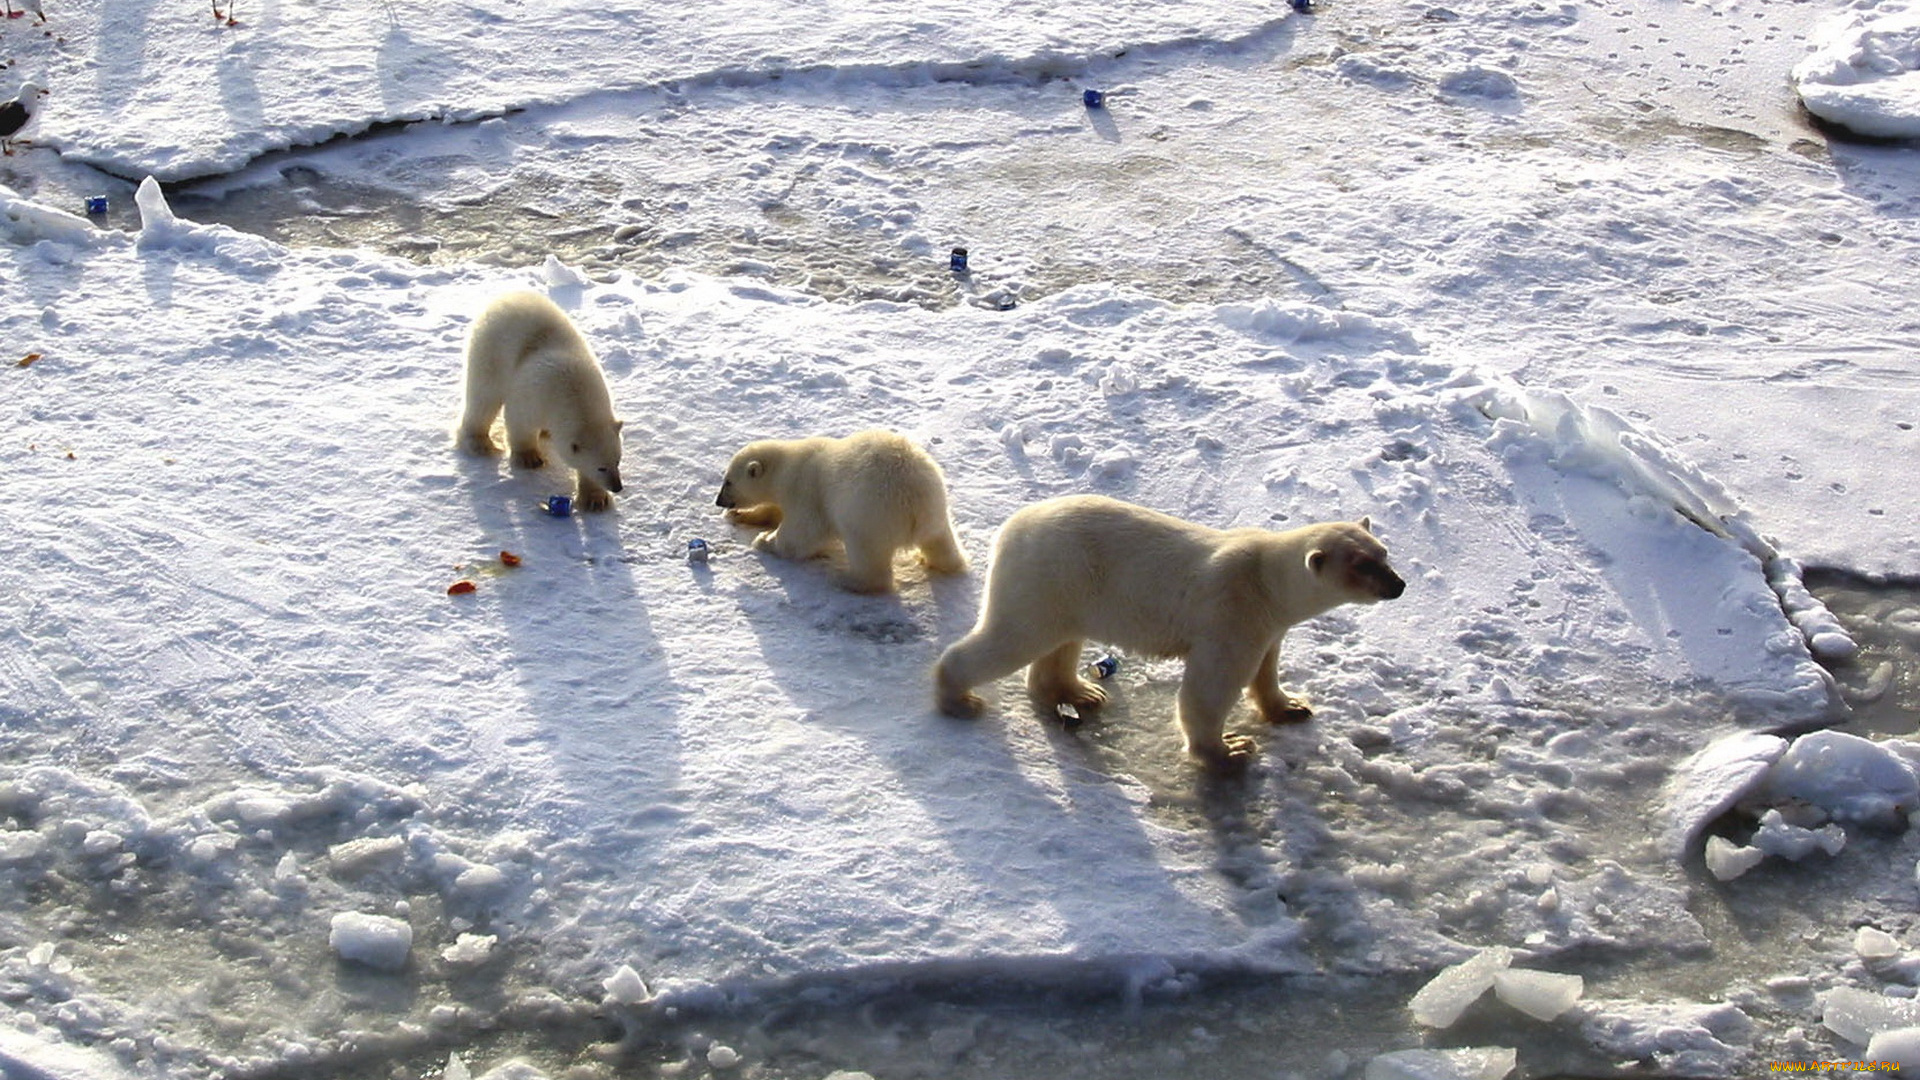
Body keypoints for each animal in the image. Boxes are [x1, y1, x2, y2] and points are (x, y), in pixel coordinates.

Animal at [456, 288, 622, 511]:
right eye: (601, 468)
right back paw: (479, 443)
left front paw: (595, 499)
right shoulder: (534, 393)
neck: (574, 392)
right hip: (490, 349)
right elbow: (520, 421)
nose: (617, 486)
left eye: (617, 461)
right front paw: (529, 458)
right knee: (483, 395)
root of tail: (504, 297)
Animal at [714, 428, 967, 591]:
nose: (719, 501)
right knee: (941, 541)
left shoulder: (806, 489)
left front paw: (765, 540)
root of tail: (916, 501)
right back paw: (942, 561)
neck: (786, 467)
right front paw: (741, 516)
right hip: (936, 509)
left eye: (728, 482)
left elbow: (801, 532)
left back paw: (844, 578)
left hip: (868, 513)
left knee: (867, 555)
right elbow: (774, 510)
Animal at [936, 491, 1405, 768]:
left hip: (1069, 590)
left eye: (1384, 553)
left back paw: (1081, 692)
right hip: (1048, 575)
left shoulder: (1268, 624)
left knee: (1060, 640)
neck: (1266, 580)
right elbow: (1210, 686)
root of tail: (1010, 528)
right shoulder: (1231, 615)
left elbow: (1267, 669)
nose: (1398, 585)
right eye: (1362, 565)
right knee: (1014, 637)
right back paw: (958, 698)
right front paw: (1229, 749)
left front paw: (1292, 707)